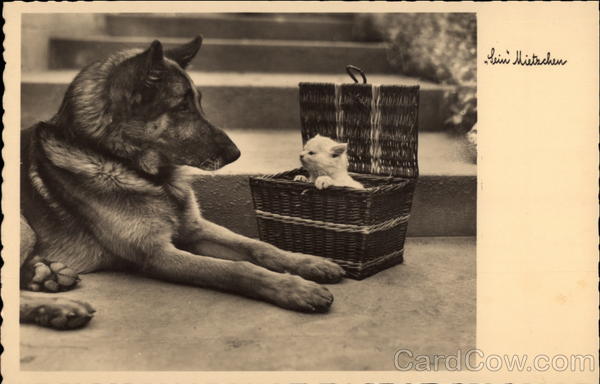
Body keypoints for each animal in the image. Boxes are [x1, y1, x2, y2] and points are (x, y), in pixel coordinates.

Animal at [21, 36, 344, 330]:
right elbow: (238, 268)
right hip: (25, 227)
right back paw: (59, 307)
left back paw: (46, 276)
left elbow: (258, 246)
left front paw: (307, 262)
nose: (236, 154)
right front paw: (295, 288)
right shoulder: (156, 254)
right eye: (181, 107)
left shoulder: (194, 228)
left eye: (198, 103)